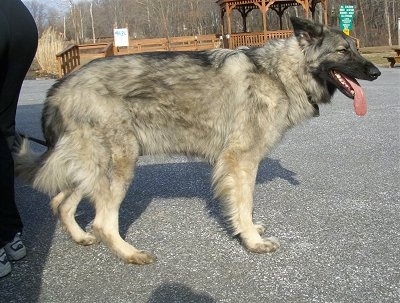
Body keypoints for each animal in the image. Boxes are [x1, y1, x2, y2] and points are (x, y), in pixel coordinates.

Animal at [14, 16, 380, 264]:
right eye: (343, 51)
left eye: (357, 47)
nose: (376, 72)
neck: (279, 73)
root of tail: (59, 87)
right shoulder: (242, 161)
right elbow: (244, 204)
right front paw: (251, 240)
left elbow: (243, 206)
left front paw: (247, 231)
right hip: (119, 164)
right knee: (102, 222)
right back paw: (130, 253)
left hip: (91, 167)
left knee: (60, 203)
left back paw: (80, 237)